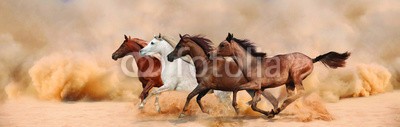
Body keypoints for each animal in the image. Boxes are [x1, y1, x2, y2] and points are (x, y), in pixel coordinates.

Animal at [216, 33, 350, 117]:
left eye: (223, 44)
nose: (213, 53)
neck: (251, 63)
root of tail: (311, 59)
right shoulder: (259, 88)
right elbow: (254, 105)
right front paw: (269, 113)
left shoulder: (254, 84)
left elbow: (236, 88)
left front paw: (236, 107)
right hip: (289, 83)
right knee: (293, 96)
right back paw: (279, 109)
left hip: (296, 77)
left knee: (300, 92)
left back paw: (280, 107)